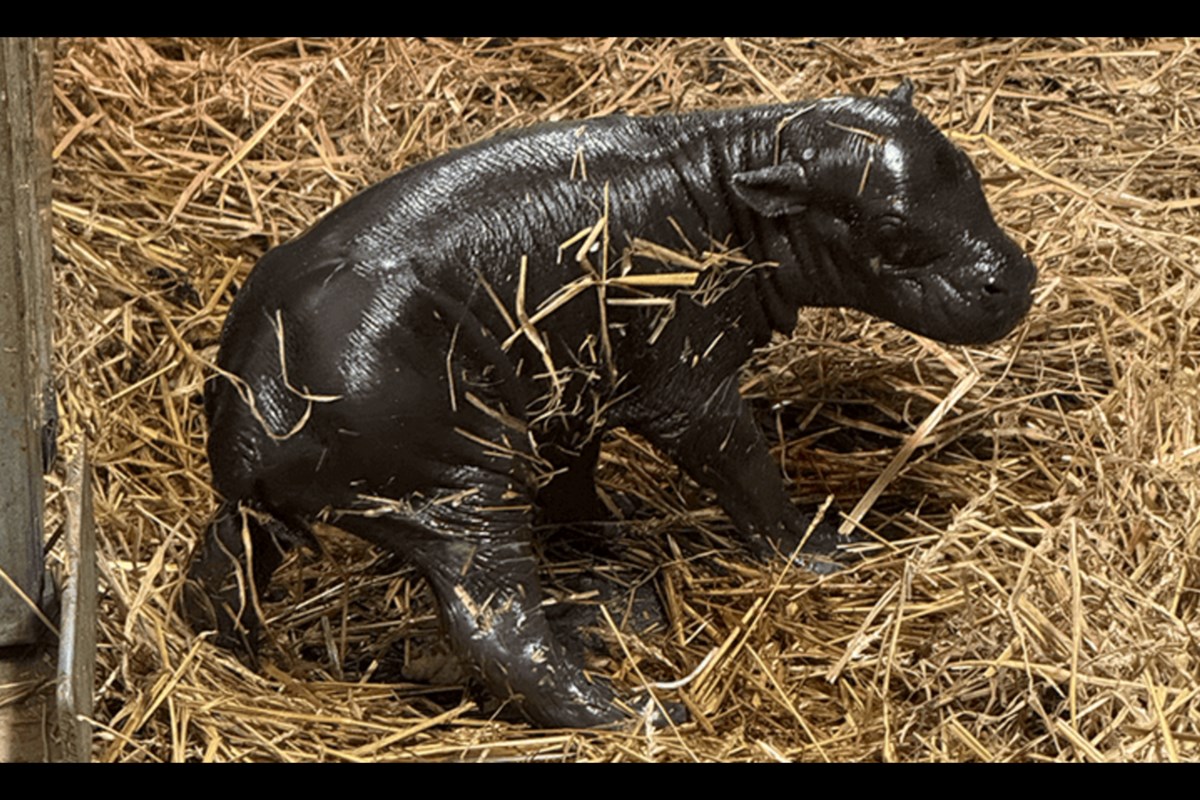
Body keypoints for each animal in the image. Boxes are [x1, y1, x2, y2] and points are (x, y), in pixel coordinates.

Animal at [182, 80, 1036, 728]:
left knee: (221, 566)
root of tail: (252, 417)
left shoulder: (573, 389)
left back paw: (236, 653)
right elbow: (745, 470)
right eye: (887, 223)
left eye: (967, 166)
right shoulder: (685, 386)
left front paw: (616, 538)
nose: (1015, 279)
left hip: (299, 507)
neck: (734, 177)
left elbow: (575, 482)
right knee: (499, 635)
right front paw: (824, 551)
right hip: (461, 495)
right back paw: (639, 711)